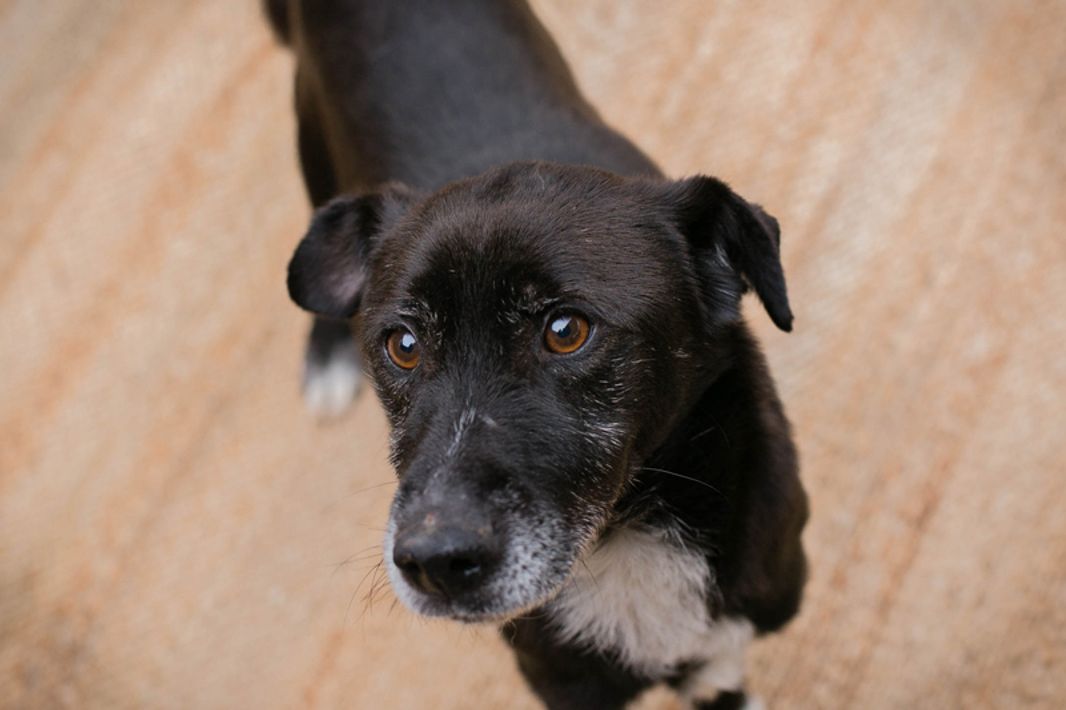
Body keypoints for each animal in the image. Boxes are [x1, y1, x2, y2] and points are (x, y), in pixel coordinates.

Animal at [267, 1, 808, 708]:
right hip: (313, 136)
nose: (434, 563)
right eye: (403, 346)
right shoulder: (560, 680)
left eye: (566, 330)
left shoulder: (728, 640)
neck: (628, 534)